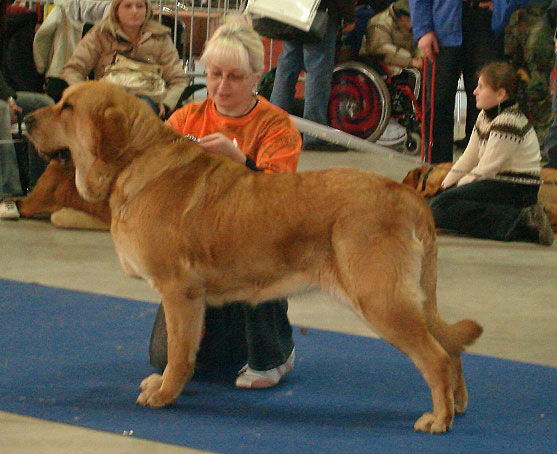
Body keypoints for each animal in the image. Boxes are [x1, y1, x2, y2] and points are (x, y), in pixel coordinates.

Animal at [23, 81, 480, 432]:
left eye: (67, 106)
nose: (24, 120)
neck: (131, 161)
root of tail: (406, 195)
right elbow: (183, 352)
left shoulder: (179, 292)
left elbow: (178, 354)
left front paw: (166, 393)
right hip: (409, 297)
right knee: (450, 348)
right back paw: (457, 406)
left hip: (381, 299)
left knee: (436, 357)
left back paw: (438, 419)